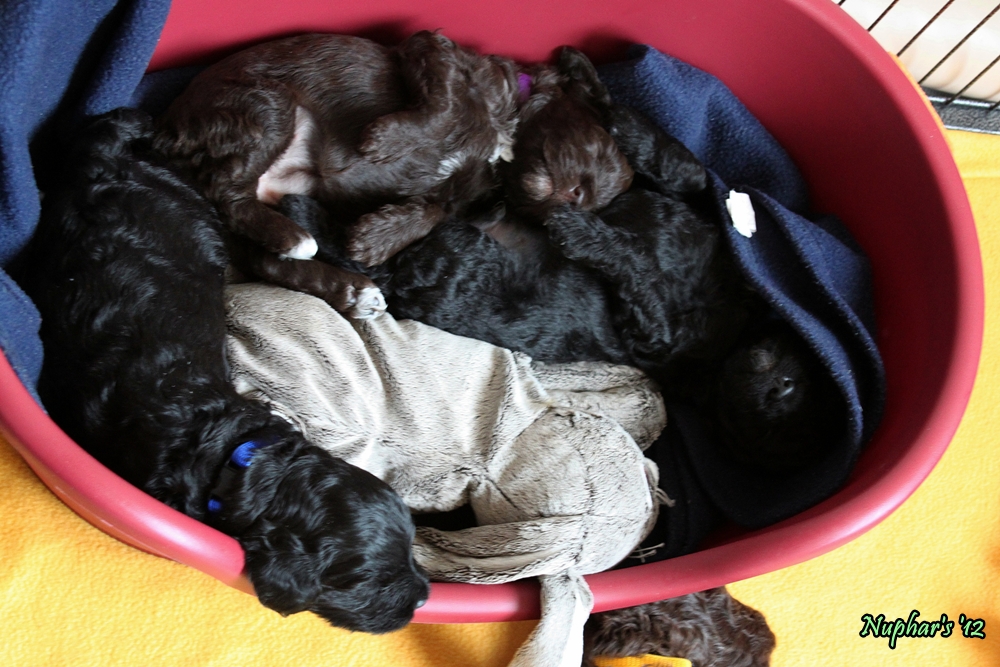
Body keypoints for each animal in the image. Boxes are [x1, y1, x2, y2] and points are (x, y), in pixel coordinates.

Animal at [14, 108, 430, 633]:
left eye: (412, 546)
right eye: (372, 581)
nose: (425, 596)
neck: (241, 459)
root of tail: (103, 152)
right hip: (196, 207)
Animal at [154, 31, 632, 317]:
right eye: (597, 144)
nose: (572, 196)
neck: (504, 142)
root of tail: (171, 125)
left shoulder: (464, 200)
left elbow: (433, 210)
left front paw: (376, 238)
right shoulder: (430, 47)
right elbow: (444, 102)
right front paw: (384, 140)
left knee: (262, 259)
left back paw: (348, 288)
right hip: (266, 104)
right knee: (226, 190)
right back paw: (295, 238)